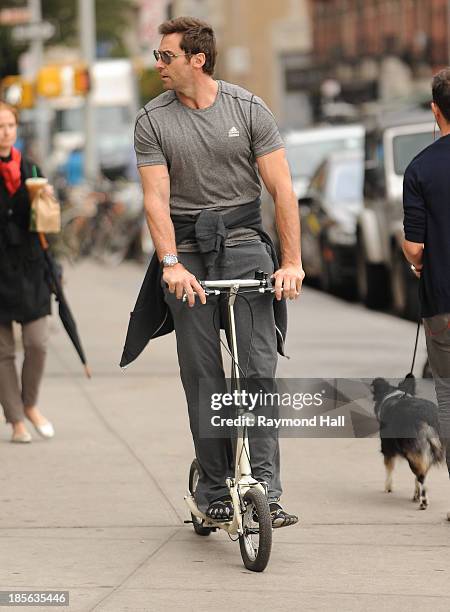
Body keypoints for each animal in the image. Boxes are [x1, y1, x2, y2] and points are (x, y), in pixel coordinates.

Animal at [370, 376, 444, 510]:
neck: (395, 395)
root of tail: (427, 419)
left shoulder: (387, 449)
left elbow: (389, 469)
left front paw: (388, 488)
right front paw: (415, 494)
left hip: (413, 452)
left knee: (421, 477)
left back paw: (423, 502)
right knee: (421, 475)